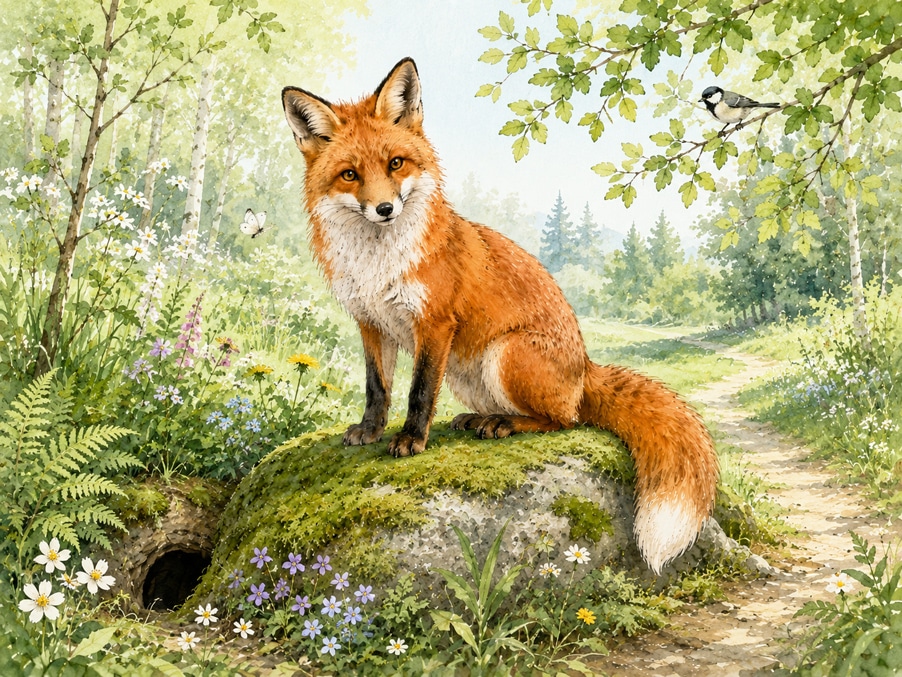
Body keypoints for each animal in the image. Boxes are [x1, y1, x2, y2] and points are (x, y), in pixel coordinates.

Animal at [281, 57, 719, 574]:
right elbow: (377, 388)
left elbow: (417, 393)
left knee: (565, 419)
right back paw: (481, 419)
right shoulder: (371, 323)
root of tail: (585, 369)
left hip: (506, 355)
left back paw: (507, 425)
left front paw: (410, 441)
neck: (378, 262)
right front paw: (369, 431)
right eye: (350, 174)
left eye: (395, 164)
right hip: (467, 374)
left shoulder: (434, 323)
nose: (385, 208)